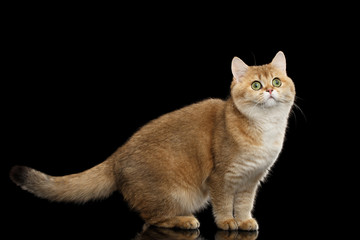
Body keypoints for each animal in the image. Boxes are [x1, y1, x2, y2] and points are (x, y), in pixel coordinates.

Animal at [9, 51, 296, 232]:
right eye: (256, 85)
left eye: (277, 81)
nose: (270, 90)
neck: (266, 128)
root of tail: (116, 155)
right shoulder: (221, 177)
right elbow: (225, 203)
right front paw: (227, 222)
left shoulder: (251, 180)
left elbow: (244, 204)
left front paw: (245, 221)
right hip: (174, 194)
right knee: (152, 219)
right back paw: (183, 221)